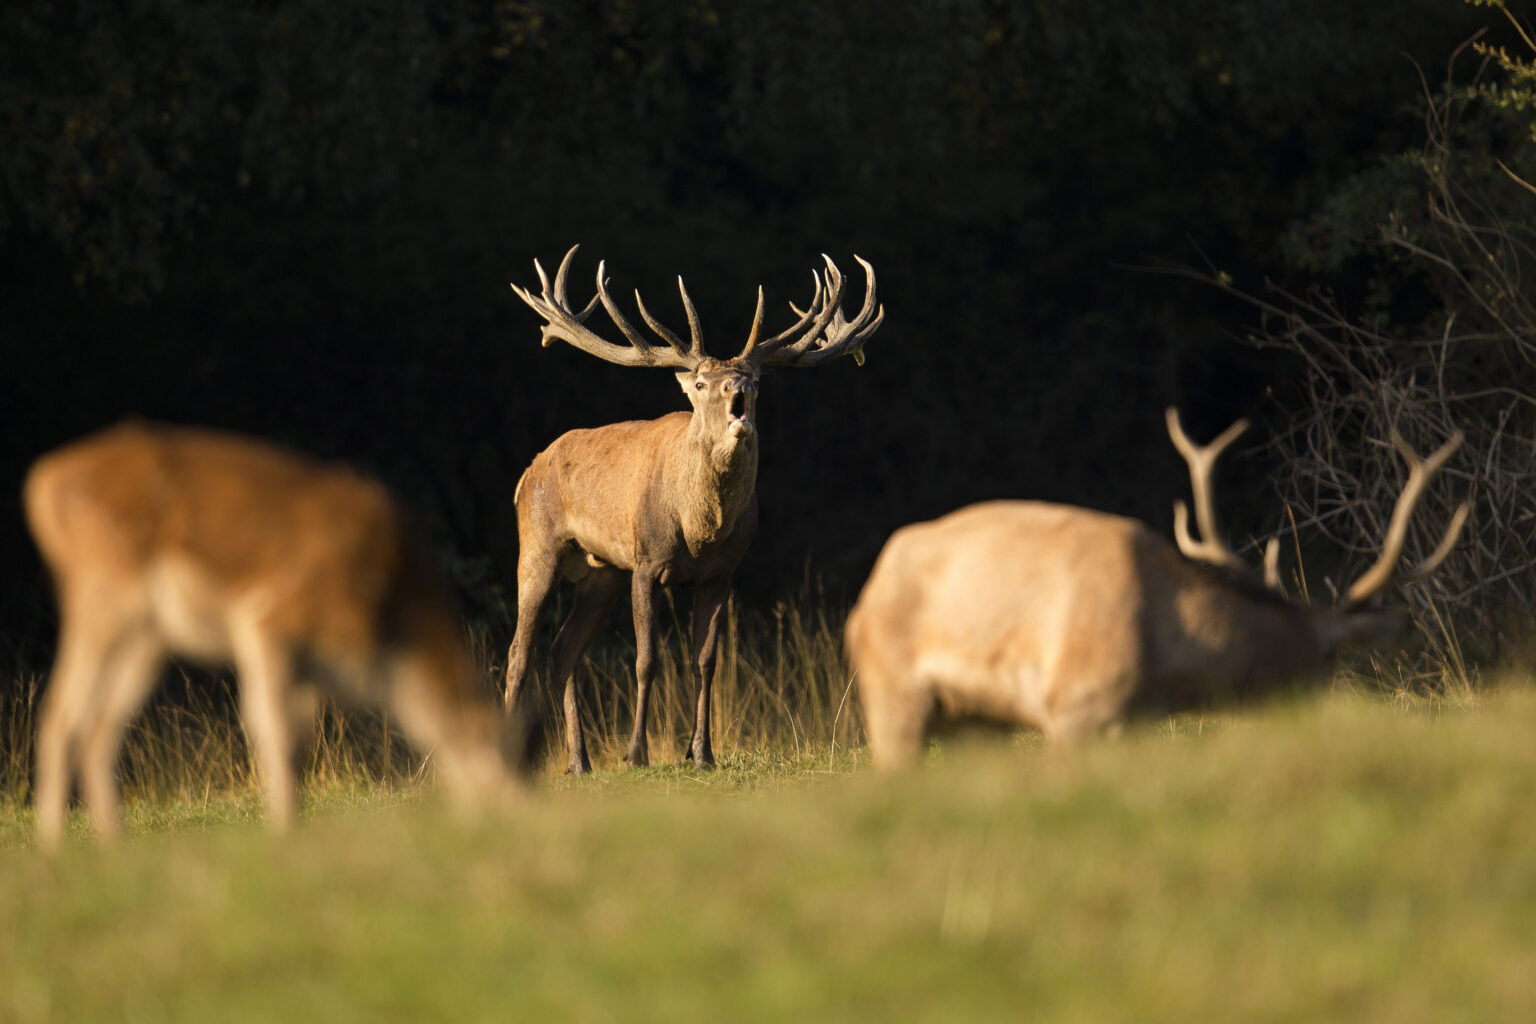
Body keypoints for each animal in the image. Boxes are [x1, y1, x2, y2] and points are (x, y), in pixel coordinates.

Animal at [24, 420, 522, 847]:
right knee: (61, 713)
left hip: (146, 635)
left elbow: (297, 737)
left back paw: (111, 845)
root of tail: (41, 484)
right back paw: (55, 849)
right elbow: (273, 730)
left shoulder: (309, 667)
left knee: (98, 725)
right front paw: (284, 833)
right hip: (106, 594)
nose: (508, 820)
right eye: (502, 757)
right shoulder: (270, 620)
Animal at [506, 248, 884, 773]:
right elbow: (646, 660)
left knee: (563, 649)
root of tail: (527, 473)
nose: (735, 390)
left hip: (601, 571)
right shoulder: (646, 561)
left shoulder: (722, 573)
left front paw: (702, 753)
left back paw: (579, 762)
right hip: (538, 544)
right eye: (702, 382)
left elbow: (705, 661)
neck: (700, 531)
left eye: (756, 380)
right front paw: (636, 754)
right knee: (518, 652)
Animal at [847, 408, 1468, 767]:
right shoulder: (1074, 705)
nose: (1314, 720)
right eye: (1327, 661)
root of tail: (863, 601)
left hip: (976, 720)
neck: (1163, 663)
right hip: (892, 690)